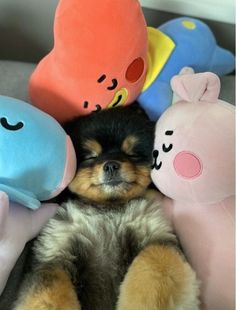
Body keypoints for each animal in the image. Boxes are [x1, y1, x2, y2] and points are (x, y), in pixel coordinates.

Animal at [14, 105, 199, 308]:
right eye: (90, 157)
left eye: (132, 154)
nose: (111, 165)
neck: (108, 208)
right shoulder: (52, 254)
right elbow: (47, 296)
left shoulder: (157, 238)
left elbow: (154, 262)